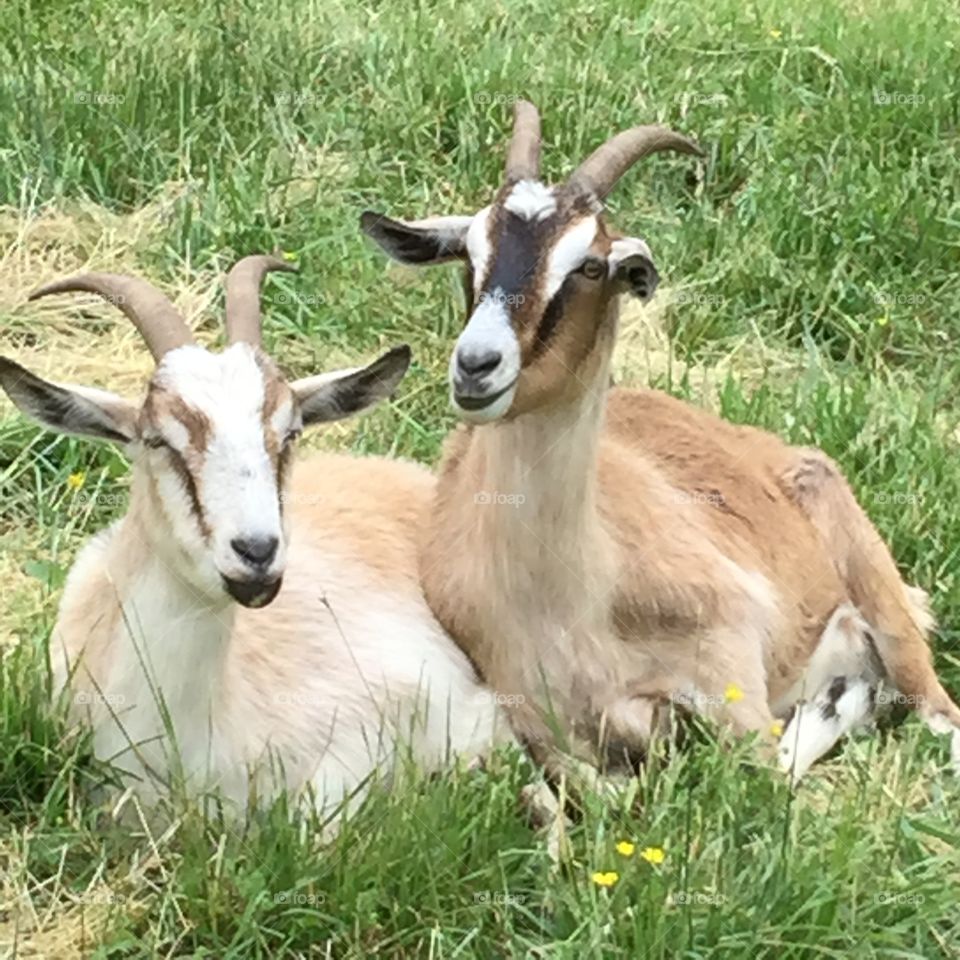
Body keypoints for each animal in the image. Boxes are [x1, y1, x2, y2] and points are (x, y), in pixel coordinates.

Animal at [362, 101, 960, 784]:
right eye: (470, 252)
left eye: (591, 265)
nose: (477, 365)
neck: (565, 605)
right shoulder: (546, 733)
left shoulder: (732, 670)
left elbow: (763, 770)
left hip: (884, 608)